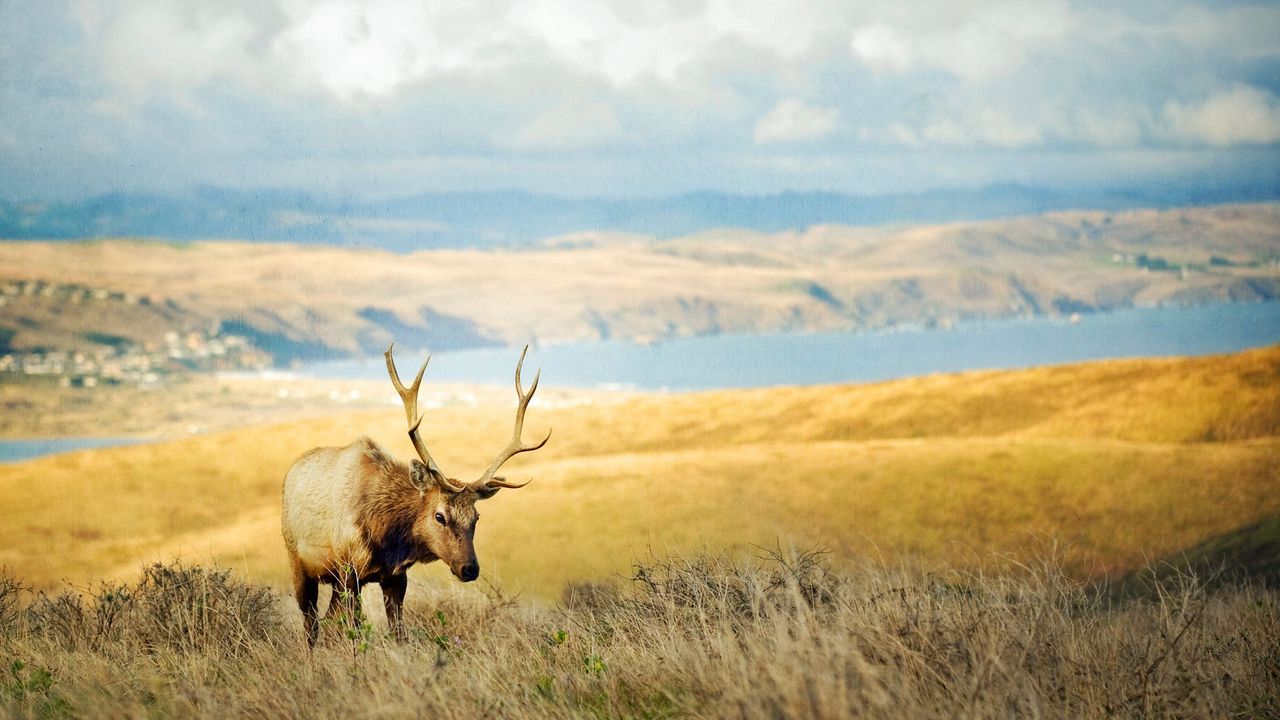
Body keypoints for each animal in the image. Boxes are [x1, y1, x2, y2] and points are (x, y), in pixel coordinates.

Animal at [282, 340, 547, 645]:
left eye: (476, 517)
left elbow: (399, 633)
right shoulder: (349, 571)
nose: (470, 568)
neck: (386, 536)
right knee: (311, 625)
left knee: (324, 620)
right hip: (298, 561)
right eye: (440, 516)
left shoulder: (395, 577)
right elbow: (355, 633)